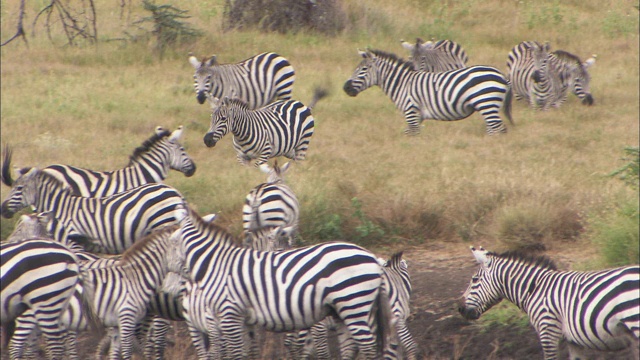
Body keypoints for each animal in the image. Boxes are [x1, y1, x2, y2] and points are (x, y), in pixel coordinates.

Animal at [0, 167, 185, 255]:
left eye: (19, 188)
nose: (2, 209)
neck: (60, 208)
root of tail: (175, 192)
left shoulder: (73, 241)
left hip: (162, 223)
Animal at [342, 48, 512, 136]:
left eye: (363, 69)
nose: (345, 88)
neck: (402, 83)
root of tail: (501, 75)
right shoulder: (418, 116)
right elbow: (410, 134)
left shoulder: (411, 111)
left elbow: (412, 135)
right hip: (488, 106)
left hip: (486, 102)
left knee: (498, 129)